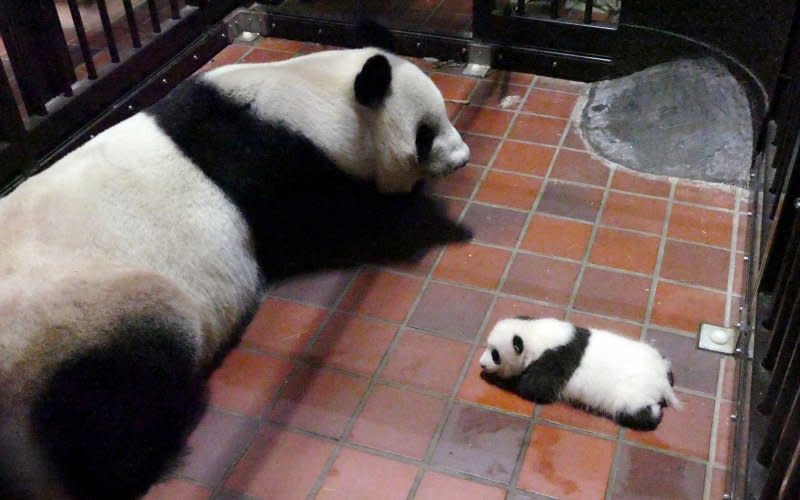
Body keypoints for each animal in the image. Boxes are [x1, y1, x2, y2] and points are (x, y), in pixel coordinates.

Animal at [0, 30, 472, 496]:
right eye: (425, 133)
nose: (463, 157)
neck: (313, 102)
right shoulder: (272, 165)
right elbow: (321, 225)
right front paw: (399, 202)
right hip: (81, 318)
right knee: (113, 402)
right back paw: (148, 457)